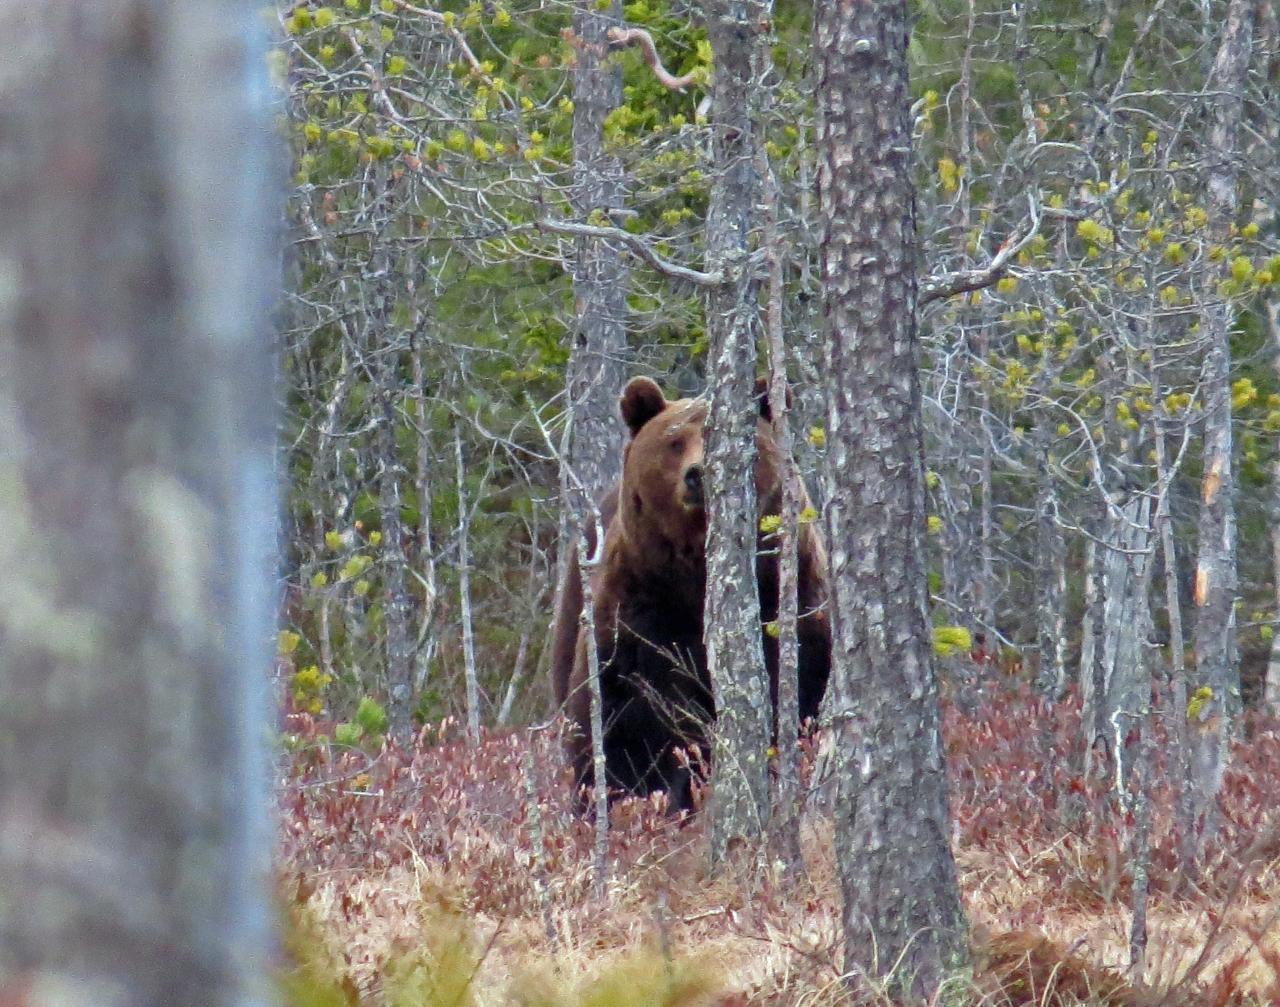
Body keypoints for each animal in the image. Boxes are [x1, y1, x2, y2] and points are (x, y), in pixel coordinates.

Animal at [547, 376, 829, 813]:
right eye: (674, 440)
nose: (699, 474)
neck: (695, 580)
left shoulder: (787, 603)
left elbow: (799, 691)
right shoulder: (640, 618)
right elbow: (624, 728)